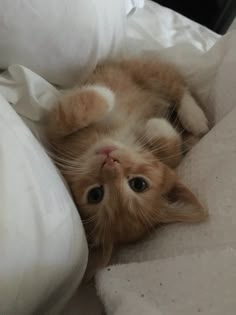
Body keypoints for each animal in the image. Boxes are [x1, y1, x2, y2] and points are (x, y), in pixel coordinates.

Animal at [46, 57, 208, 278]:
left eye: (138, 184)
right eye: (95, 194)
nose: (110, 162)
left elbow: (173, 154)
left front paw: (154, 124)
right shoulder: (56, 134)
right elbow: (69, 117)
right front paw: (106, 97)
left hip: (149, 73)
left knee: (177, 85)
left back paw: (195, 118)